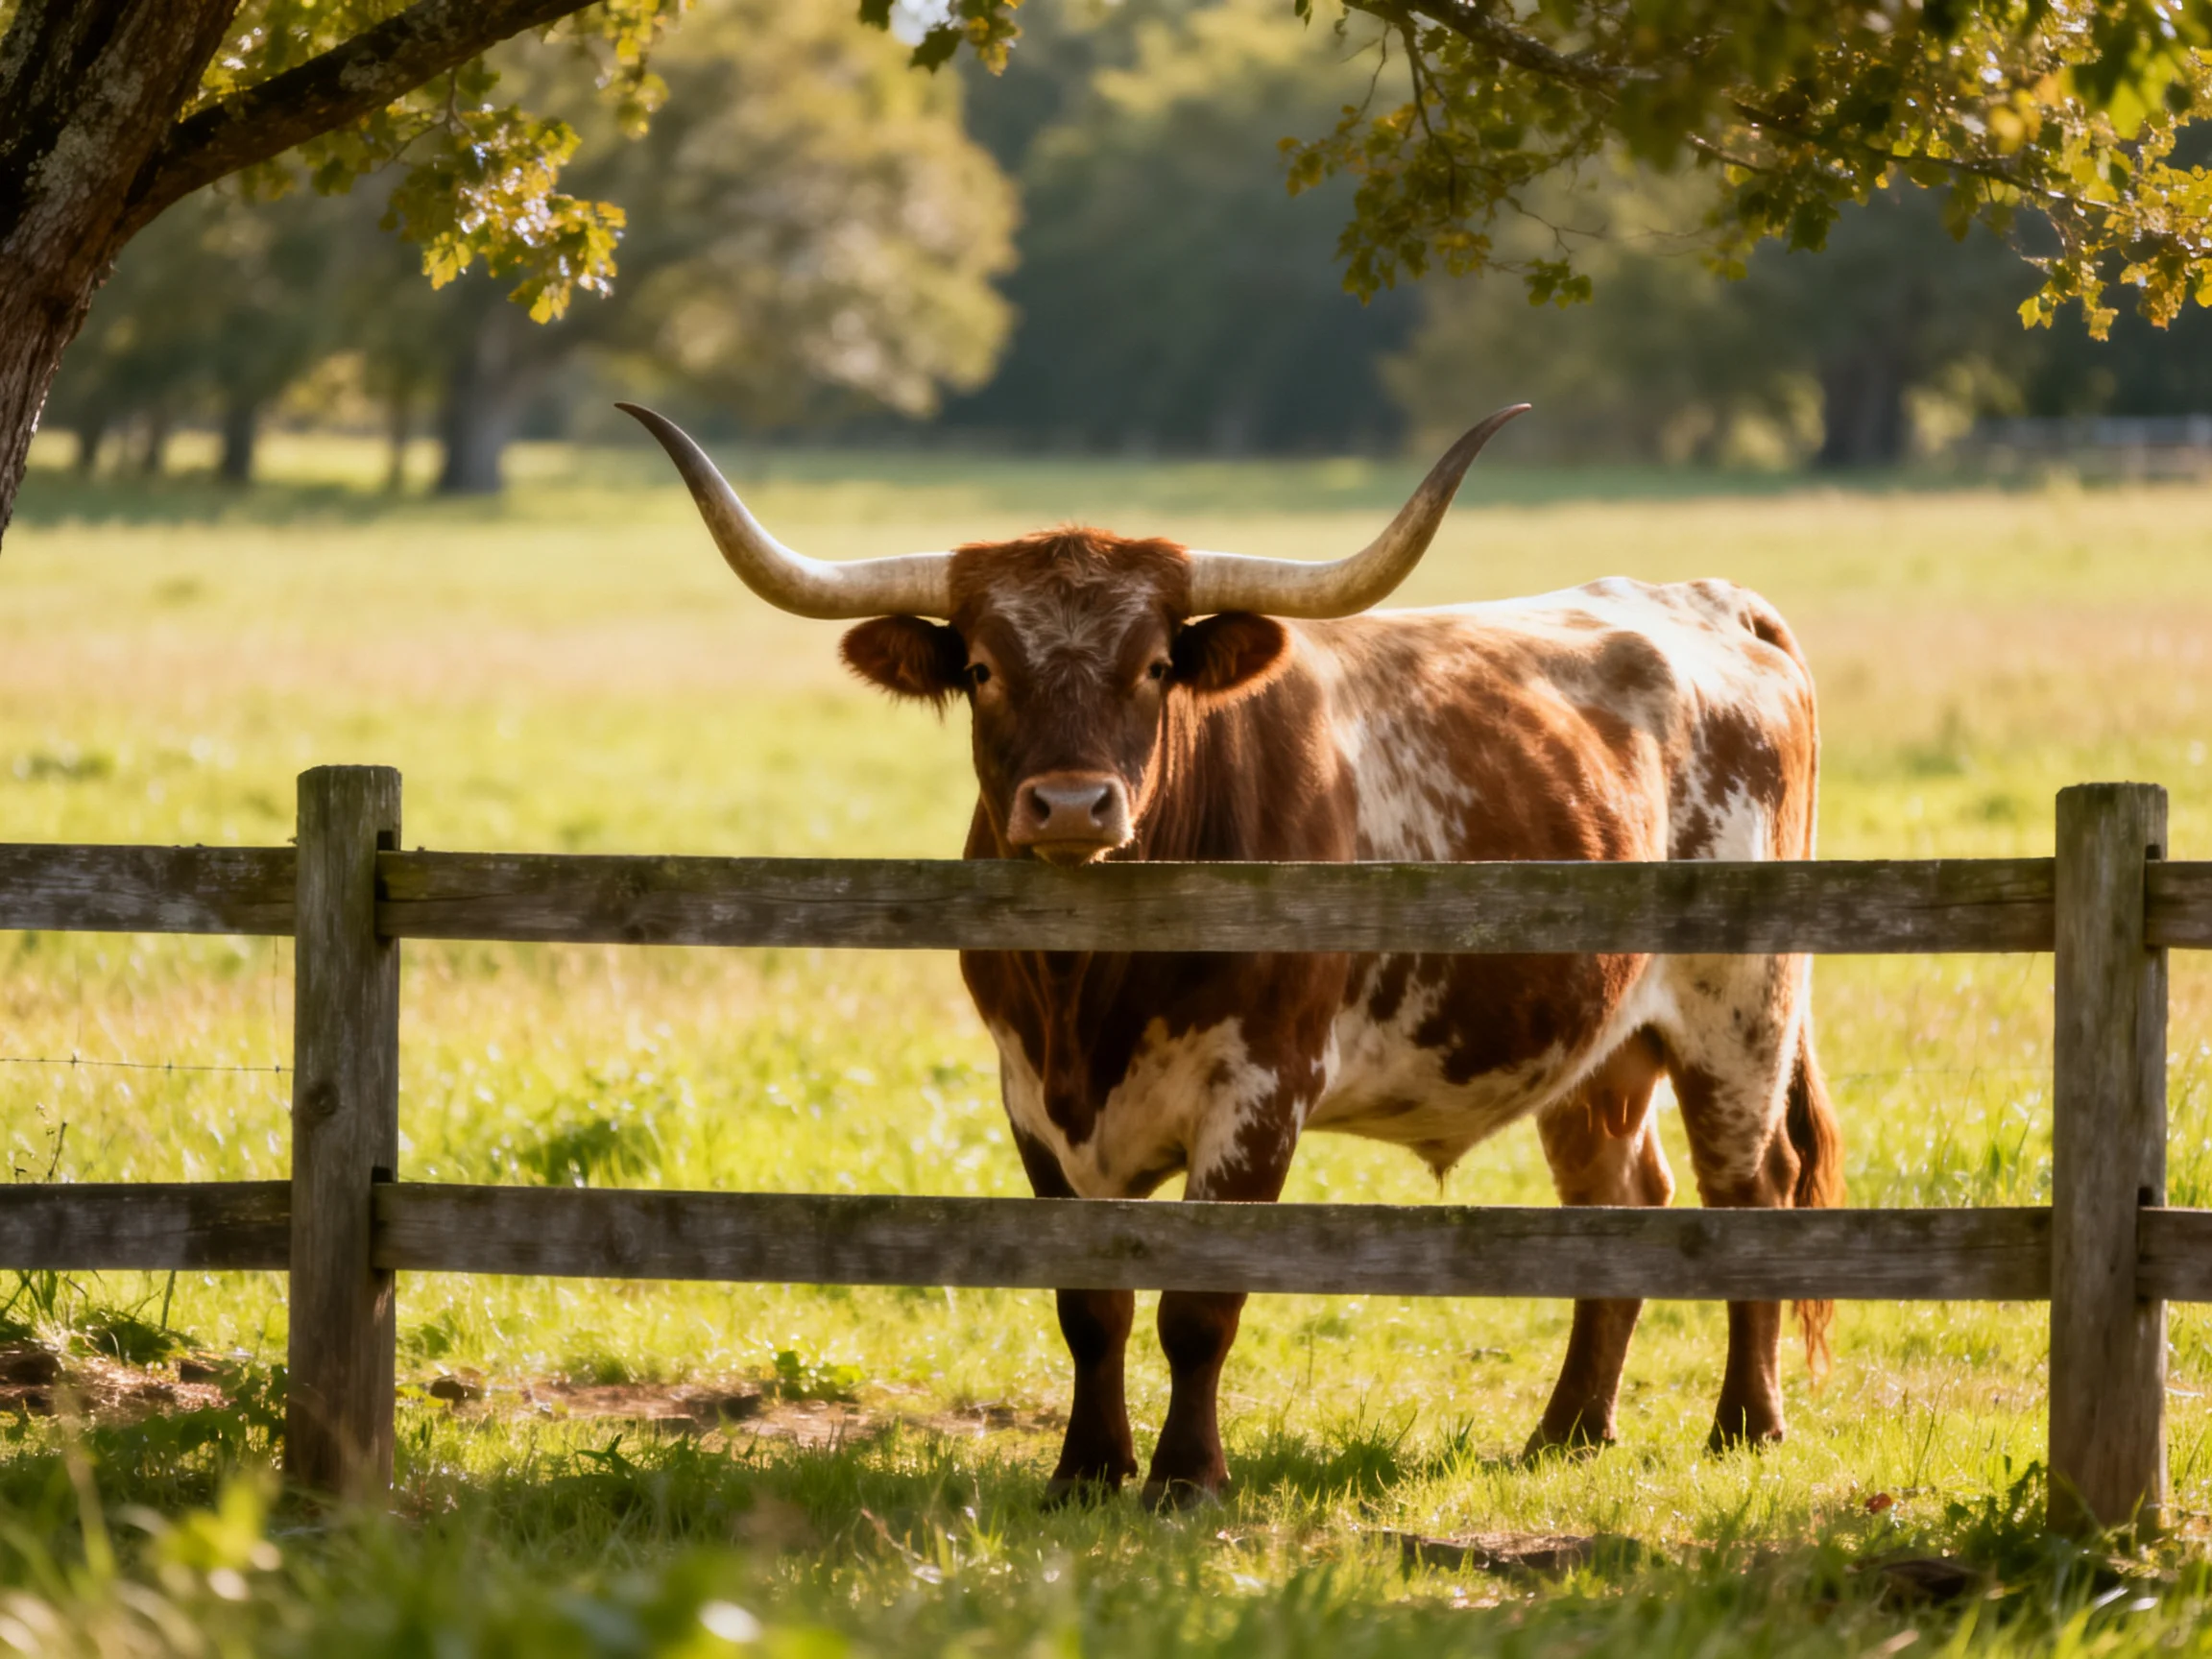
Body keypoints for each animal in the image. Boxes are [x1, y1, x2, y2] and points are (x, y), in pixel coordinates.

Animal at [622, 401, 1844, 1508]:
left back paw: (1746, 1426)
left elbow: (1198, 1308)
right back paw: (1569, 1433)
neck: (1091, 983)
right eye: (980, 667)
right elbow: (1091, 1305)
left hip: (1742, 1013)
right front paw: (1086, 1471)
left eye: (1157, 665)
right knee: (1619, 1197)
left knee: (1751, 1189)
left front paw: (1185, 1479)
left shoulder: (1263, 1088)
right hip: (1596, 1046)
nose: (1072, 805)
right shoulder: (1029, 1096)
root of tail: (1710, 603)